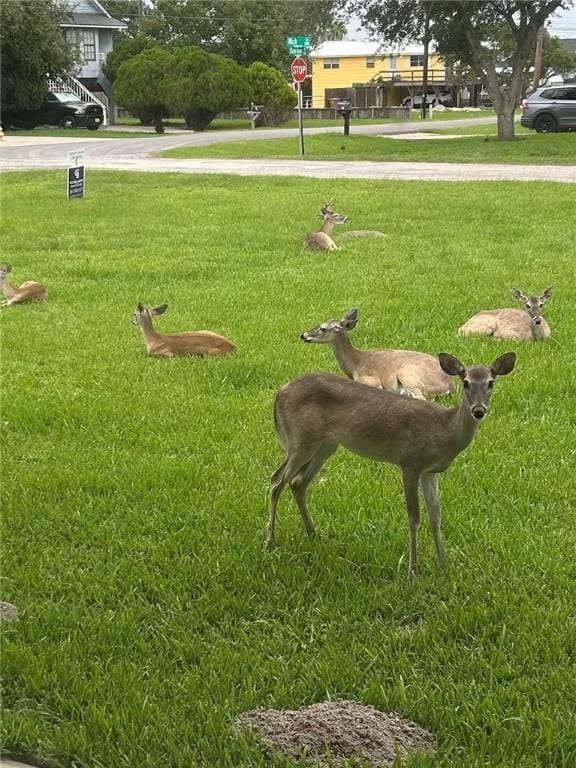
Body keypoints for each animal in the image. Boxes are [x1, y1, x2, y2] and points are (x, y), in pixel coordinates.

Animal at [266, 352, 516, 580]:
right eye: (465, 383)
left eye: (491, 383)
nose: (479, 410)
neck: (444, 432)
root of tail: (280, 393)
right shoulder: (410, 463)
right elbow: (414, 519)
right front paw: (413, 572)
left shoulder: (431, 472)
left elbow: (436, 517)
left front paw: (444, 565)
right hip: (300, 440)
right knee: (276, 480)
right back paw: (270, 541)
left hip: (326, 444)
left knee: (297, 482)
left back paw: (313, 534)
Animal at [302, 308, 454, 400]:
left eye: (323, 328)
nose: (303, 335)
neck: (355, 364)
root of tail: (448, 385)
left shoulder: (371, 379)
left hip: (408, 373)